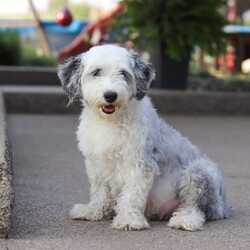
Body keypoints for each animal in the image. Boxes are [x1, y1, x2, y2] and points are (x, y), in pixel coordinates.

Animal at [57, 44, 230, 230]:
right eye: (96, 72)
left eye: (123, 73)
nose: (110, 95)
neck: (111, 122)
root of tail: (223, 206)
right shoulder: (96, 164)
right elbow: (99, 192)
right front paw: (93, 212)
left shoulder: (139, 163)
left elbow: (133, 194)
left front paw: (129, 219)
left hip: (199, 171)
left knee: (195, 206)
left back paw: (185, 220)